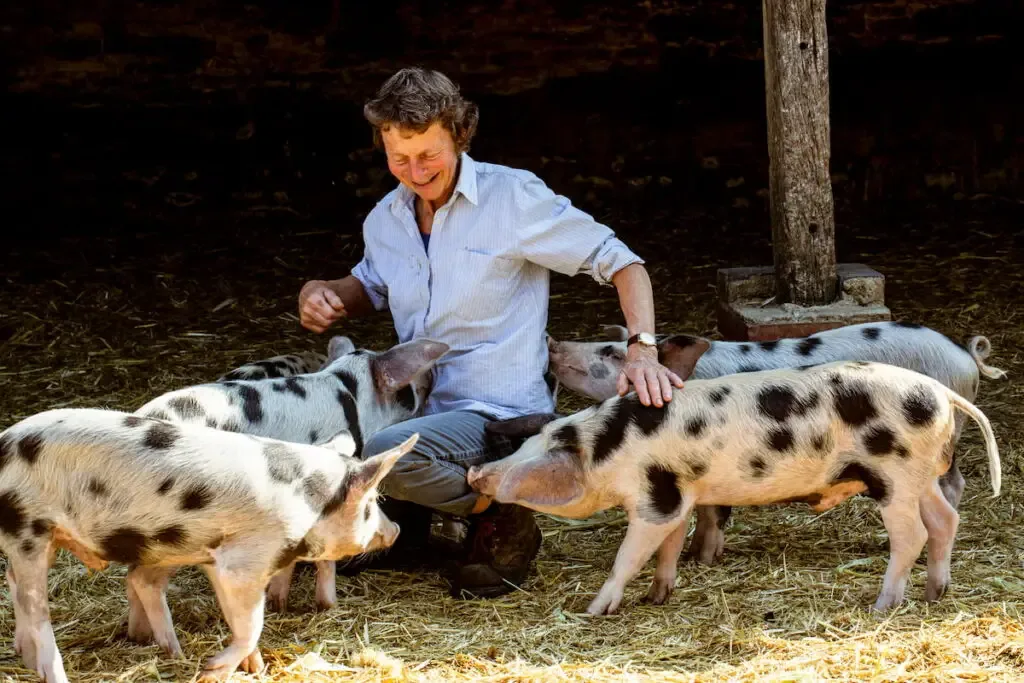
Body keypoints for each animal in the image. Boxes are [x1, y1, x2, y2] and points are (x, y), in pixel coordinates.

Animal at [0, 409, 417, 683]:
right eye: (372, 502)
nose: (395, 528)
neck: (308, 502)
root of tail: (4, 442)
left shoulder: (216, 558)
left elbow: (241, 621)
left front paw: (255, 669)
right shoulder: (243, 562)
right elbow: (252, 623)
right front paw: (211, 670)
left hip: (45, 539)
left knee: (16, 585)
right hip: (28, 529)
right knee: (36, 610)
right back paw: (53, 673)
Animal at [471, 360, 999, 618]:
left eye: (537, 452)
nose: (477, 472)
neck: (608, 446)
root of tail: (942, 393)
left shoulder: (654, 495)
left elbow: (630, 555)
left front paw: (596, 610)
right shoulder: (679, 493)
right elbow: (668, 547)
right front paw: (657, 597)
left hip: (893, 475)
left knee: (911, 535)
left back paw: (882, 606)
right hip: (921, 477)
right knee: (944, 520)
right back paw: (935, 594)